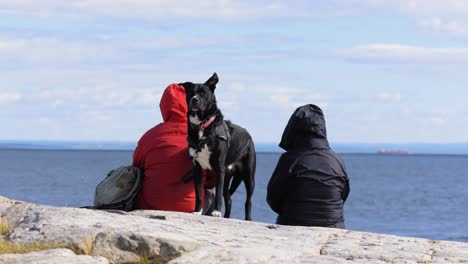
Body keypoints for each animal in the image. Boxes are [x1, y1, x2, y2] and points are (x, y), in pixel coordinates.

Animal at [181, 72, 258, 221]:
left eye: (203, 93)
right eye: (191, 93)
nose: (195, 100)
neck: (203, 126)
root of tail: (249, 136)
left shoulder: (219, 169)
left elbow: (217, 195)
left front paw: (216, 212)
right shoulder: (196, 168)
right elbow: (198, 192)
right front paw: (197, 211)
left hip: (248, 175)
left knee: (248, 201)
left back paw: (248, 218)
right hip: (228, 175)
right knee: (229, 199)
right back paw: (227, 217)